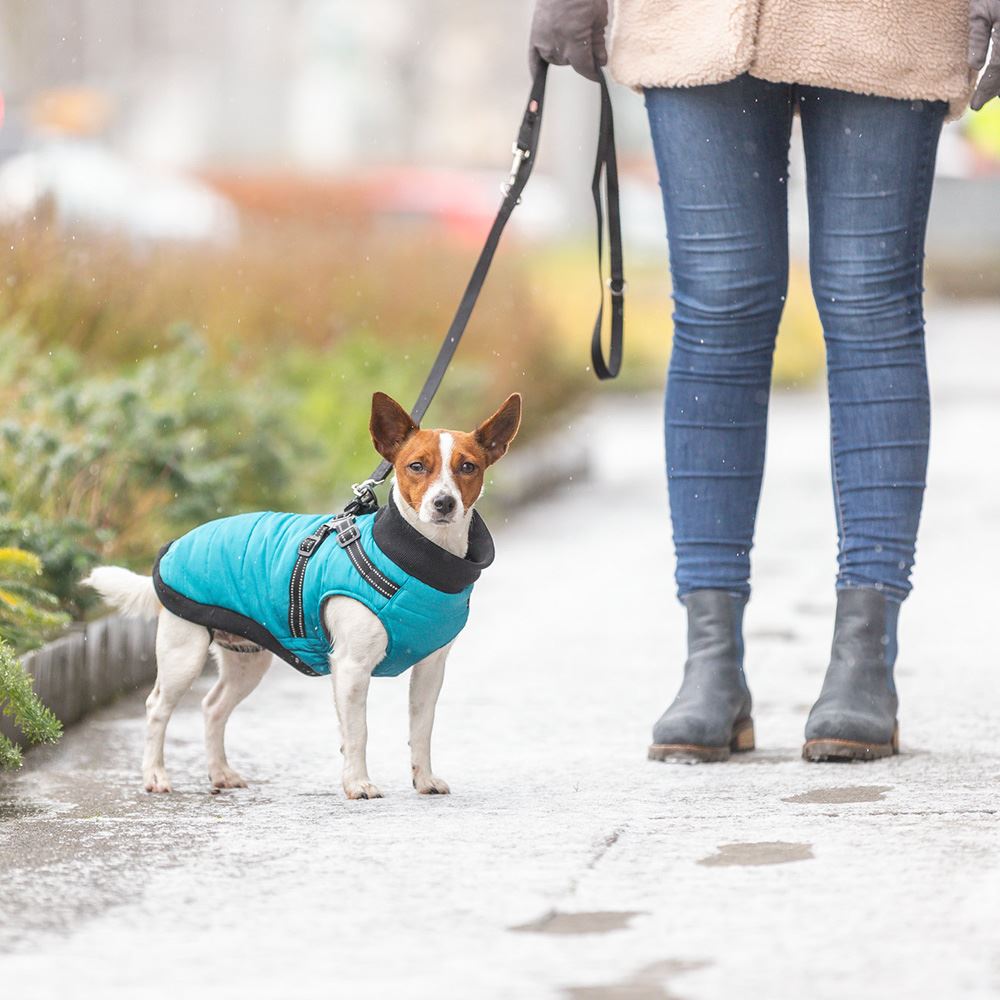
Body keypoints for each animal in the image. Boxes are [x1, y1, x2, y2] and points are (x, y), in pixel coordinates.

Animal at [85, 388, 520, 796]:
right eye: (417, 466)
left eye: (468, 467)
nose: (444, 503)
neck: (417, 559)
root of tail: (176, 545)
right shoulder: (351, 667)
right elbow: (358, 732)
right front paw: (358, 783)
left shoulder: (430, 668)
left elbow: (422, 728)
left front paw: (423, 778)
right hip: (183, 654)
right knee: (157, 707)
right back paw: (155, 775)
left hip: (246, 659)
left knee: (213, 707)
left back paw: (221, 772)